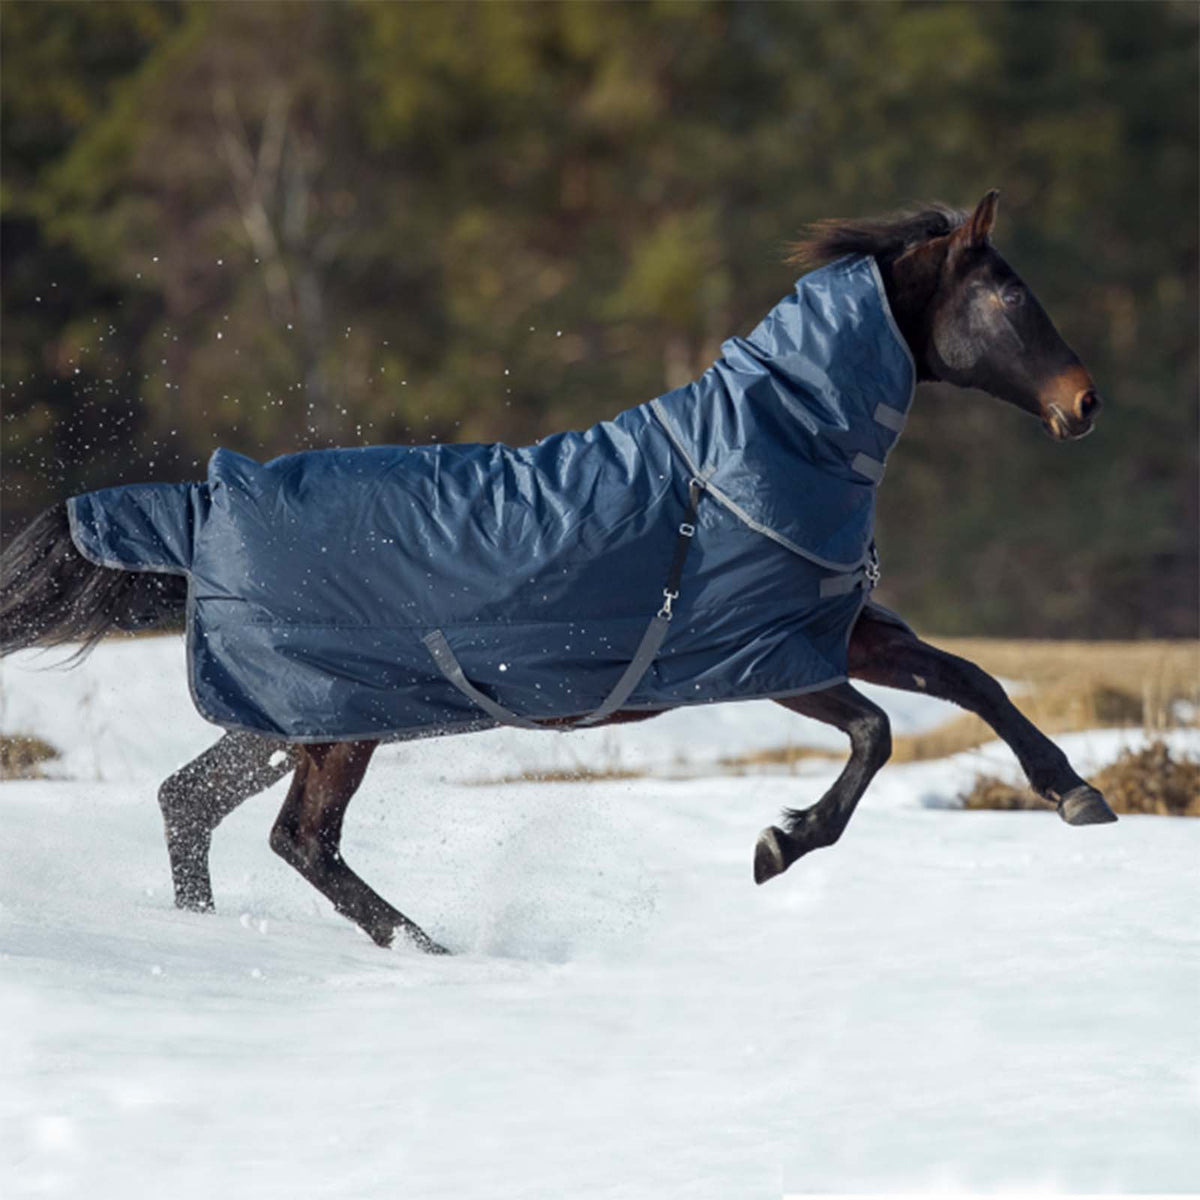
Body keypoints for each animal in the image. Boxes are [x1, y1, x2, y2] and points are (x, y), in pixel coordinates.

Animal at [0, 191, 1116, 955]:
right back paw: (429, 948)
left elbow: (974, 683)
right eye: (1009, 293)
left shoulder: (839, 633)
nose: (1086, 403)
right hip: (337, 725)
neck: (750, 458)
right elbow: (879, 734)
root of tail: (207, 503)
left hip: (294, 714)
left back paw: (213, 933)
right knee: (298, 840)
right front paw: (779, 844)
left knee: (190, 803)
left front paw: (1077, 796)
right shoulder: (761, 660)